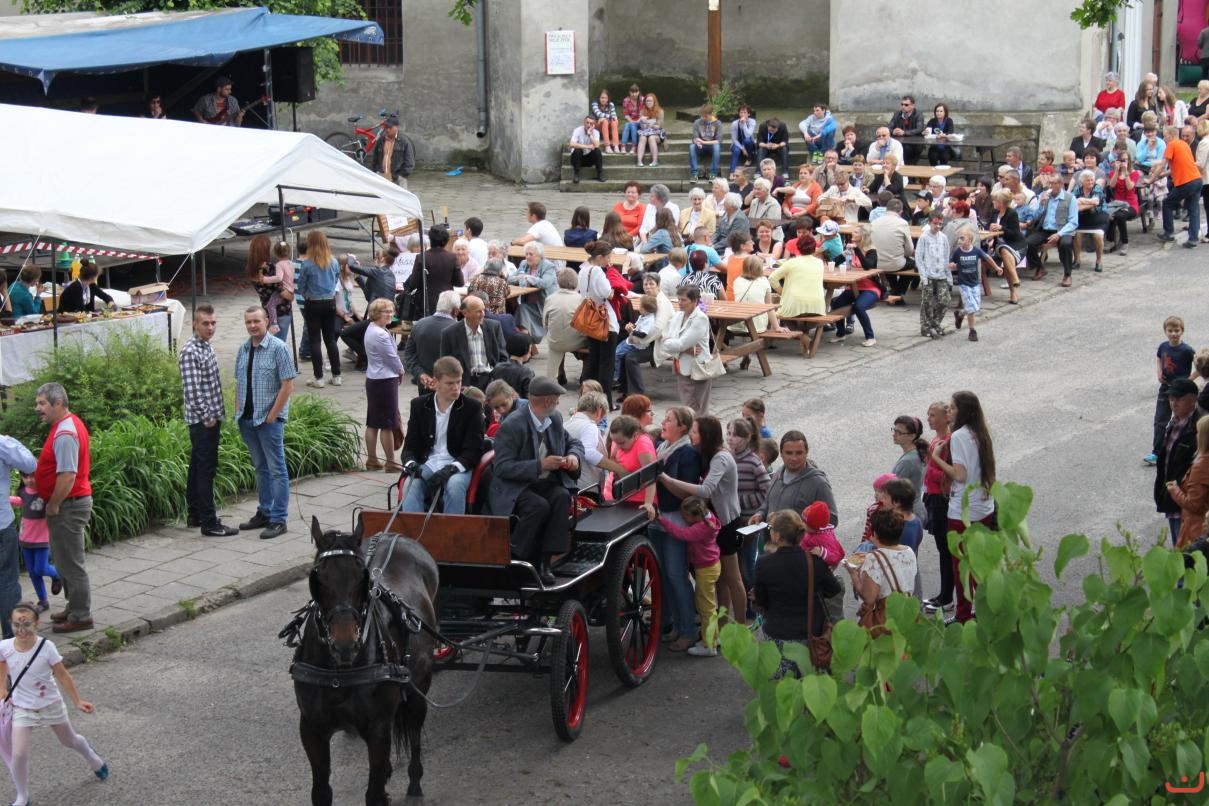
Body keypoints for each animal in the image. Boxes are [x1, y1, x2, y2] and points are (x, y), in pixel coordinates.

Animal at [284, 516, 438, 805]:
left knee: (414, 730)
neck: (340, 672)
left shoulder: (377, 729)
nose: (345, 643)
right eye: (317, 578)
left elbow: (374, 794)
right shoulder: (311, 728)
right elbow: (321, 792)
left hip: (418, 688)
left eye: (362, 578)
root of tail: (397, 536)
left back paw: (414, 782)